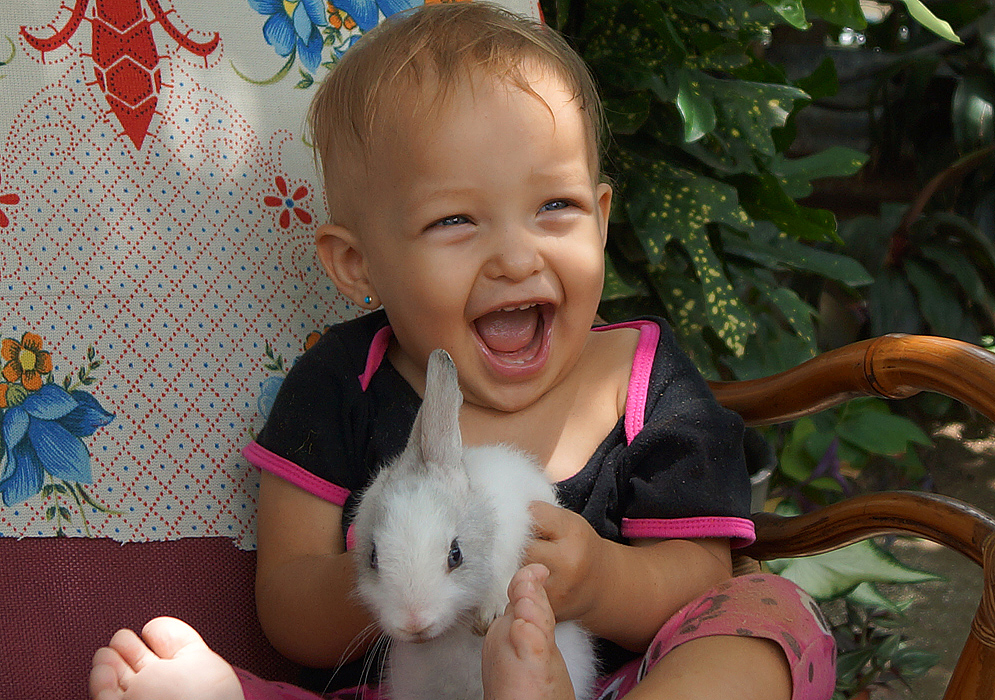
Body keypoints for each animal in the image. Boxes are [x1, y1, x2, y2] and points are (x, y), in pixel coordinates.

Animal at [352, 352, 600, 700]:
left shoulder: (519, 523)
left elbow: (506, 572)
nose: (414, 625)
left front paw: (491, 612)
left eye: (455, 555)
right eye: (373, 558)